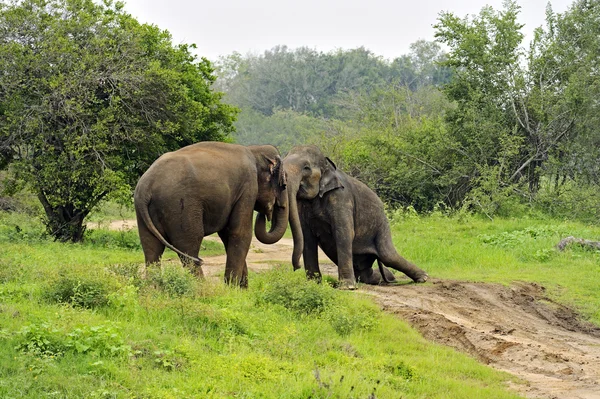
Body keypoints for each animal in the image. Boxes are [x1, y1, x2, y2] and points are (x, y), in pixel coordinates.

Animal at [134, 142, 288, 290]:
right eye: (284, 185)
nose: (264, 214)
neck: (254, 150)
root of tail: (145, 187)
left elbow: (227, 234)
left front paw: (241, 290)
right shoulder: (248, 188)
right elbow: (240, 233)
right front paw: (232, 289)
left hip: (144, 214)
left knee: (151, 249)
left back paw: (153, 289)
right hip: (180, 207)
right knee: (189, 247)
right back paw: (202, 288)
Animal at [282, 145, 426, 290]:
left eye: (306, 167)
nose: (296, 267)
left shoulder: (342, 197)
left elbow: (343, 233)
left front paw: (347, 287)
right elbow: (308, 238)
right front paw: (313, 284)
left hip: (382, 225)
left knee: (388, 256)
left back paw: (423, 278)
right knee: (367, 273)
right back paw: (390, 277)